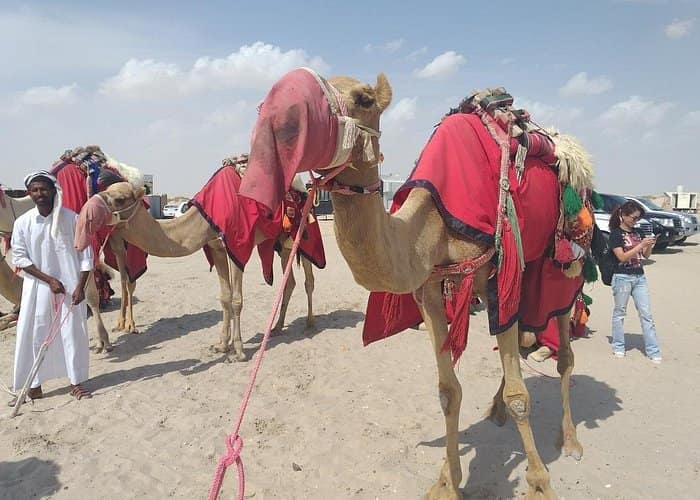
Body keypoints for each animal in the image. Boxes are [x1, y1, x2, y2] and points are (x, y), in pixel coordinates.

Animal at [79, 174, 318, 362]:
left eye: (119, 199)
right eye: (104, 191)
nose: (87, 210)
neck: (202, 220)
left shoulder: (237, 247)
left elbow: (236, 300)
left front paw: (239, 351)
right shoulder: (217, 248)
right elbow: (225, 297)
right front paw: (222, 345)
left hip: (302, 233)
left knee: (309, 280)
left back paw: (309, 322)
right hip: (281, 241)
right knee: (290, 281)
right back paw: (277, 327)